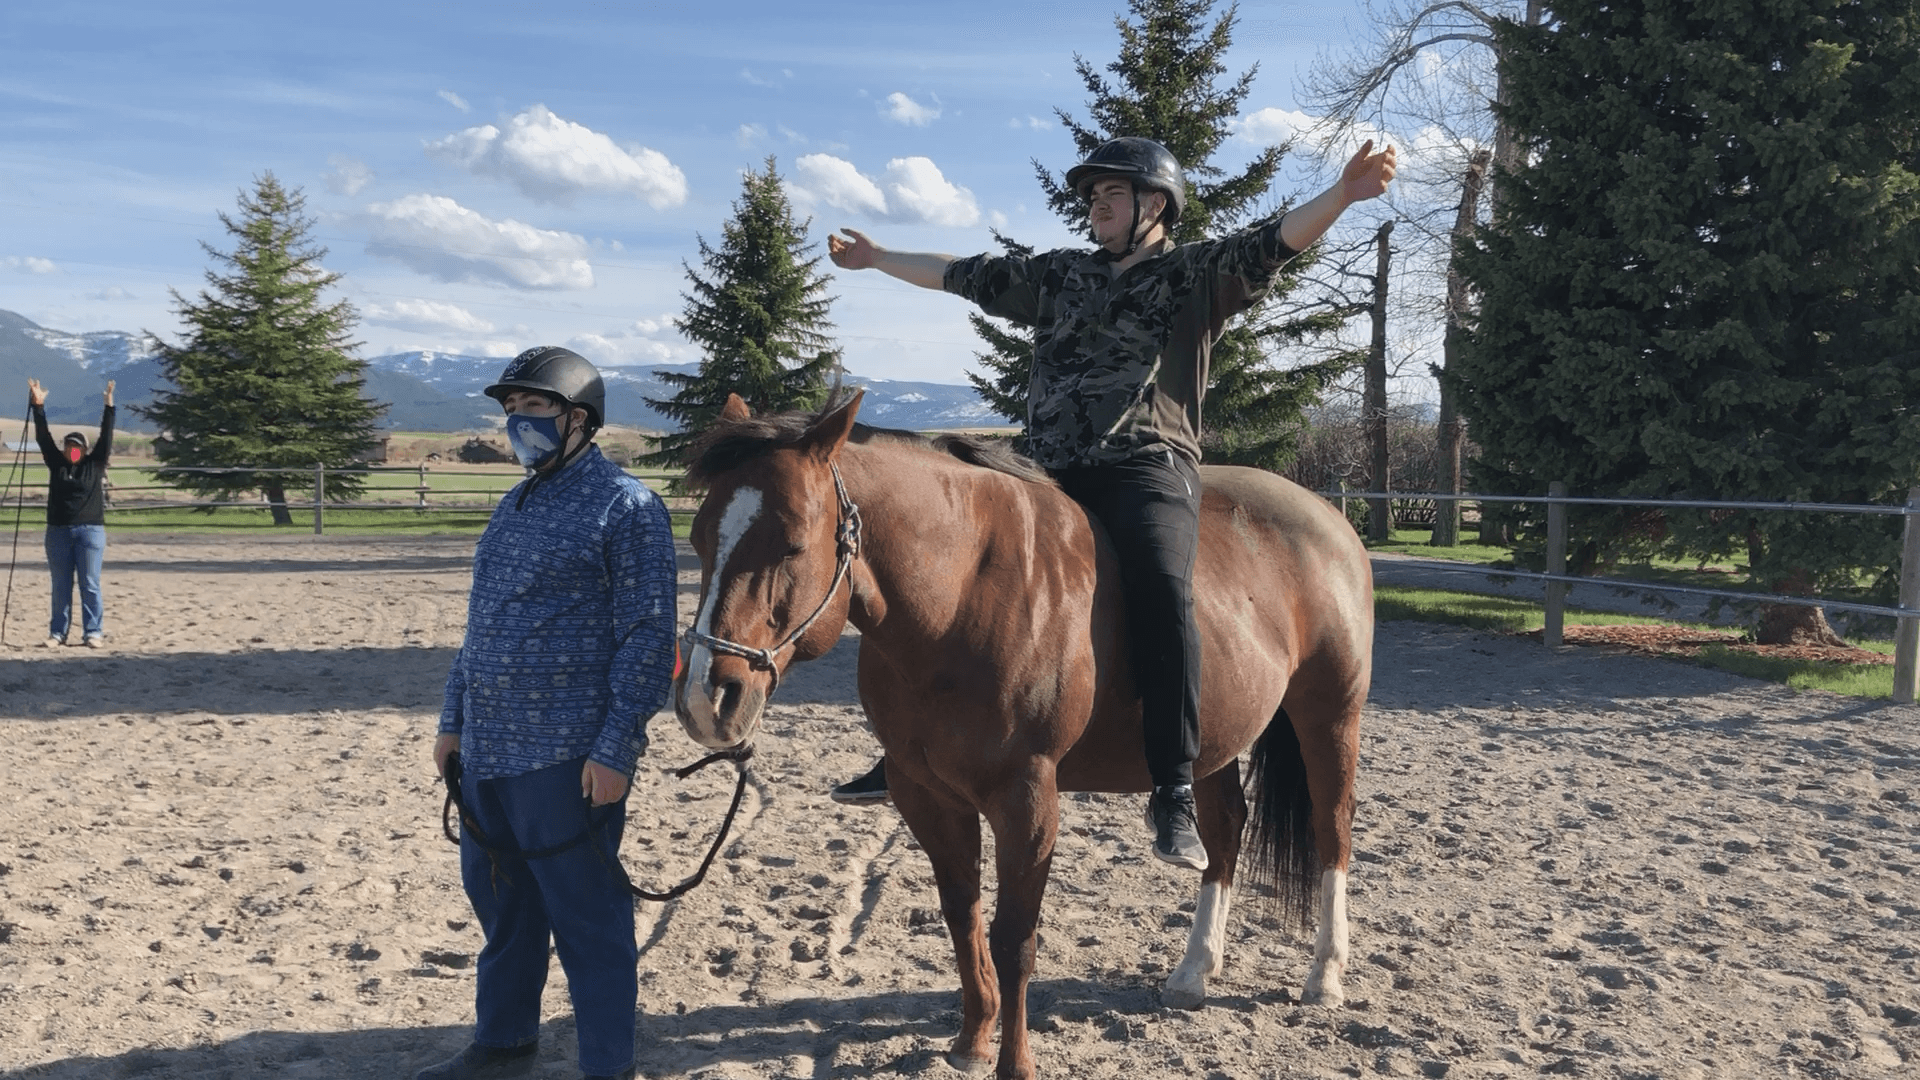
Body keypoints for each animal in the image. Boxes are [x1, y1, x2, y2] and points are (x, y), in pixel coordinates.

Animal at [668, 388, 1374, 1076]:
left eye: (790, 543)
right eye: (699, 540)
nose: (707, 698)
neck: (960, 594)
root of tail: (1327, 516)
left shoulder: (1026, 797)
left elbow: (1014, 938)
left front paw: (1014, 1062)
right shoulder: (927, 794)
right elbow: (962, 917)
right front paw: (972, 1041)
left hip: (1330, 716)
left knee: (1332, 831)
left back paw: (1324, 976)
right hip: (1214, 741)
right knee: (1224, 832)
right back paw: (1195, 970)